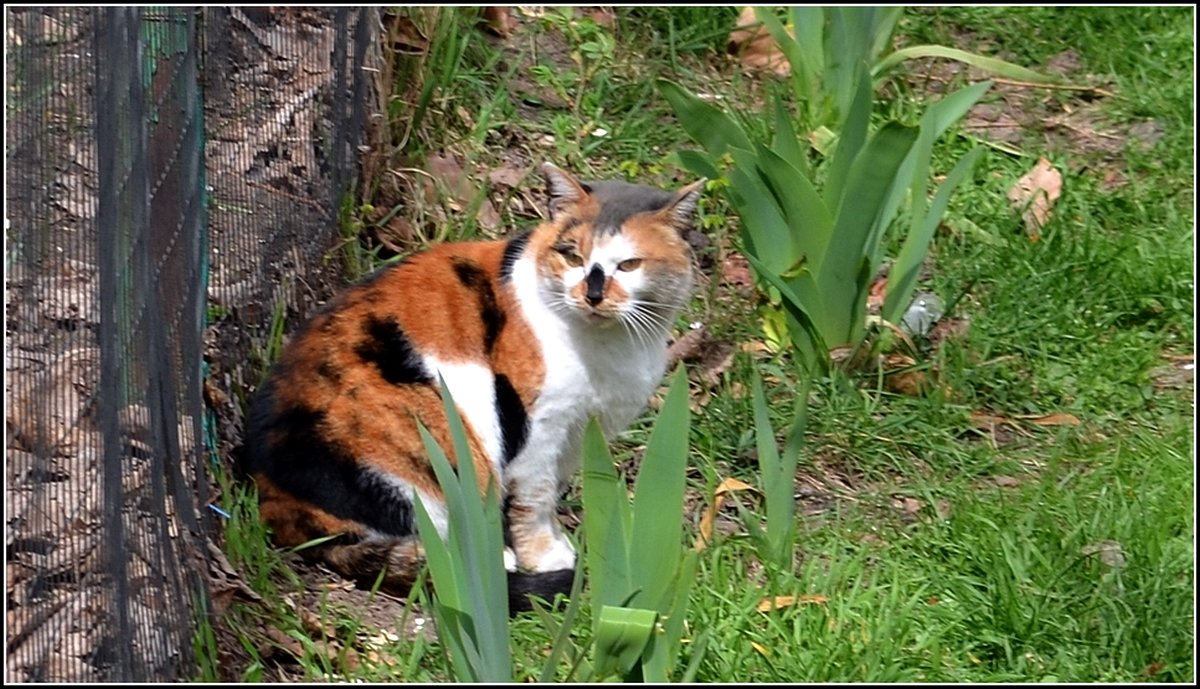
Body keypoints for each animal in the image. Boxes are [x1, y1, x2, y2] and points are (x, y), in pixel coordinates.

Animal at [242, 164, 700, 612]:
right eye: (572, 255)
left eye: (629, 265)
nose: (591, 293)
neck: (613, 348)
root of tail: (273, 500)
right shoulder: (542, 424)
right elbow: (534, 499)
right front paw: (545, 556)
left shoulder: (577, 433)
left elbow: (551, 493)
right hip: (431, 439)